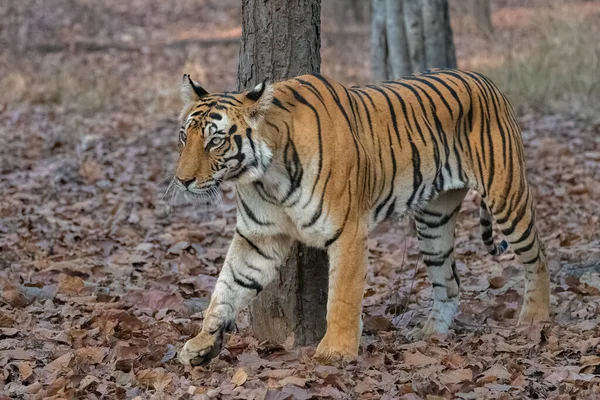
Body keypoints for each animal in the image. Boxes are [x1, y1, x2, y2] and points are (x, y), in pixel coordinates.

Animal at [172, 68, 548, 366]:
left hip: (506, 195)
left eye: (216, 141)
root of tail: (485, 79)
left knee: (537, 256)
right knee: (449, 280)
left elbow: (342, 295)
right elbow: (227, 287)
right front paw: (201, 343)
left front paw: (335, 351)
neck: (266, 177)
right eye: (184, 136)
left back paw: (535, 318)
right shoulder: (259, 238)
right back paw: (430, 335)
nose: (182, 180)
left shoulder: (348, 231)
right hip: (434, 222)